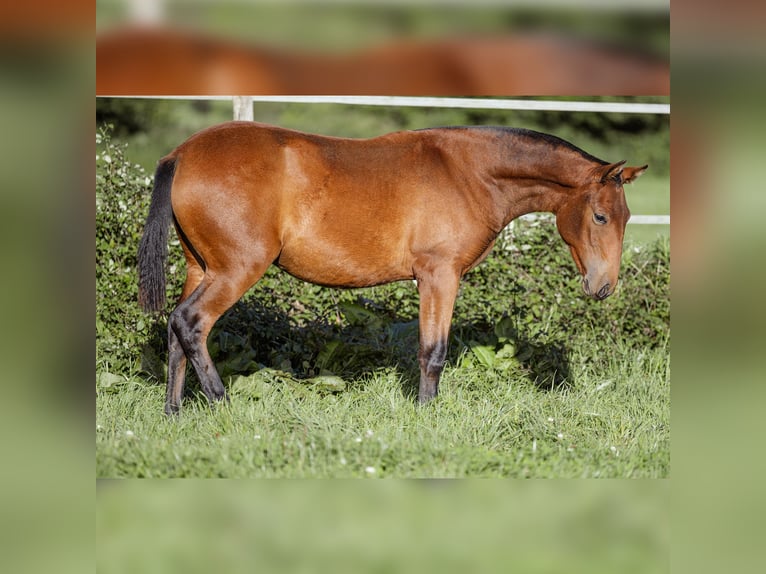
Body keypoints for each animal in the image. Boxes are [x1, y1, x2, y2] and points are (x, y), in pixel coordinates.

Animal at [140, 124, 648, 416]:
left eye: (626, 218)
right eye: (600, 217)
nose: (604, 286)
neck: (468, 172)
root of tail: (181, 154)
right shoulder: (439, 276)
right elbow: (433, 352)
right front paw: (427, 415)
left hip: (200, 268)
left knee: (176, 330)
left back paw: (174, 412)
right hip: (235, 270)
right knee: (193, 323)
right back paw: (222, 404)